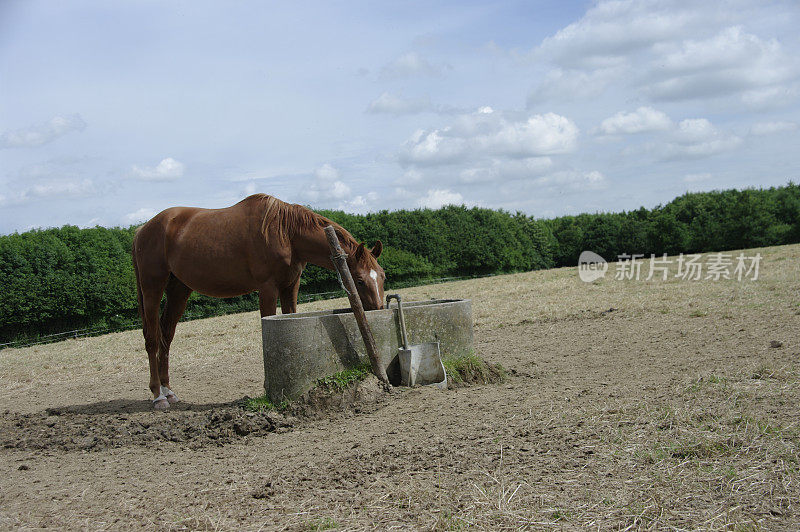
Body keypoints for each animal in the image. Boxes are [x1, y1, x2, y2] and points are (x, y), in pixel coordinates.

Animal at [131, 193, 384, 410]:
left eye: (382, 276)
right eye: (359, 281)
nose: (379, 309)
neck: (285, 232)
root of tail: (143, 229)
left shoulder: (290, 286)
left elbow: (289, 316)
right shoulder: (268, 288)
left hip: (179, 290)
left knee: (166, 336)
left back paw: (169, 391)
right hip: (153, 288)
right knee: (152, 339)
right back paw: (158, 396)